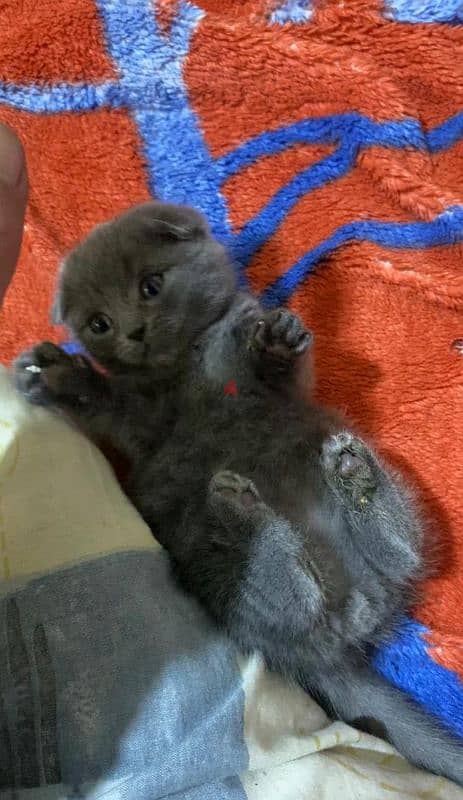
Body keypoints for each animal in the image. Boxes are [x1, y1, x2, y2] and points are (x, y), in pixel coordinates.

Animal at [14, 203, 463, 784]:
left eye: (151, 285)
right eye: (99, 323)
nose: (134, 331)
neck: (183, 364)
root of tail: (348, 625)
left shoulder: (280, 389)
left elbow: (282, 370)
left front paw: (275, 341)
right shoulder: (136, 426)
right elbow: (105, 401)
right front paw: (58, 375)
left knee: (395, 554)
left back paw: (350, 475)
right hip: (219, 572)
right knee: (294, 591)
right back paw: (247, 509)